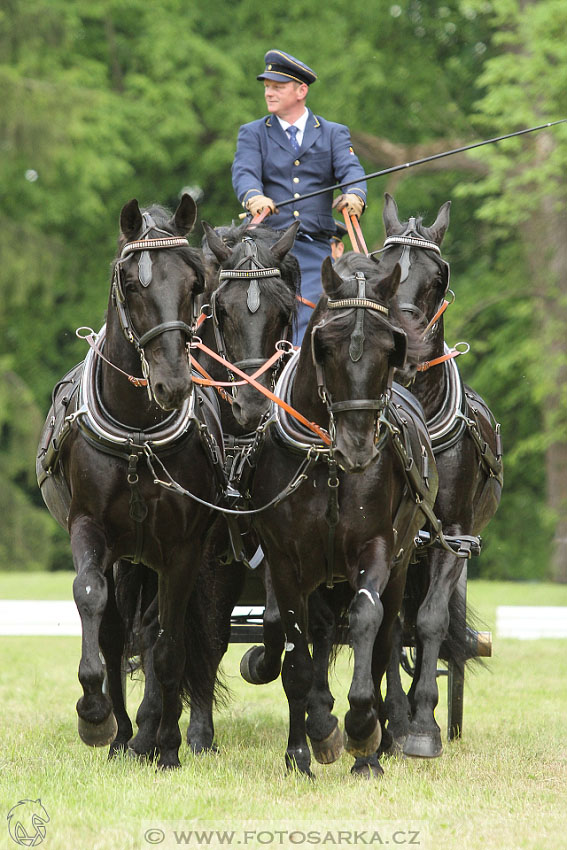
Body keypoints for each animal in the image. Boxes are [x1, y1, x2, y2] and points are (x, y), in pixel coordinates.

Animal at [36, 197, 224, 768]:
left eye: (195, 282)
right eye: (131, 282)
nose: (172, 384)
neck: (138, 433)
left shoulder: (183, 547)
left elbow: (168, 644)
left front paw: (167, 746)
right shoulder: (89, 528)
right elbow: (92, 600)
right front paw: (95, 714)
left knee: (169, 631)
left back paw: (157, 733)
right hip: (126, 553)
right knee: (118, 630)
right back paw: (120, 733)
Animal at [226, 252, 440, 776]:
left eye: (391, 346)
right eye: (324, 345)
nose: (357, 448)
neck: (329, 467)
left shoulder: (377, 550)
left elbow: (366, 620)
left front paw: (363, 729)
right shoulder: (284, 563)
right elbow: (296, 657)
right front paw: (308, 746)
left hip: (402, 564)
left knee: (387, 640)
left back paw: (382, 744)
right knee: (317, 638)